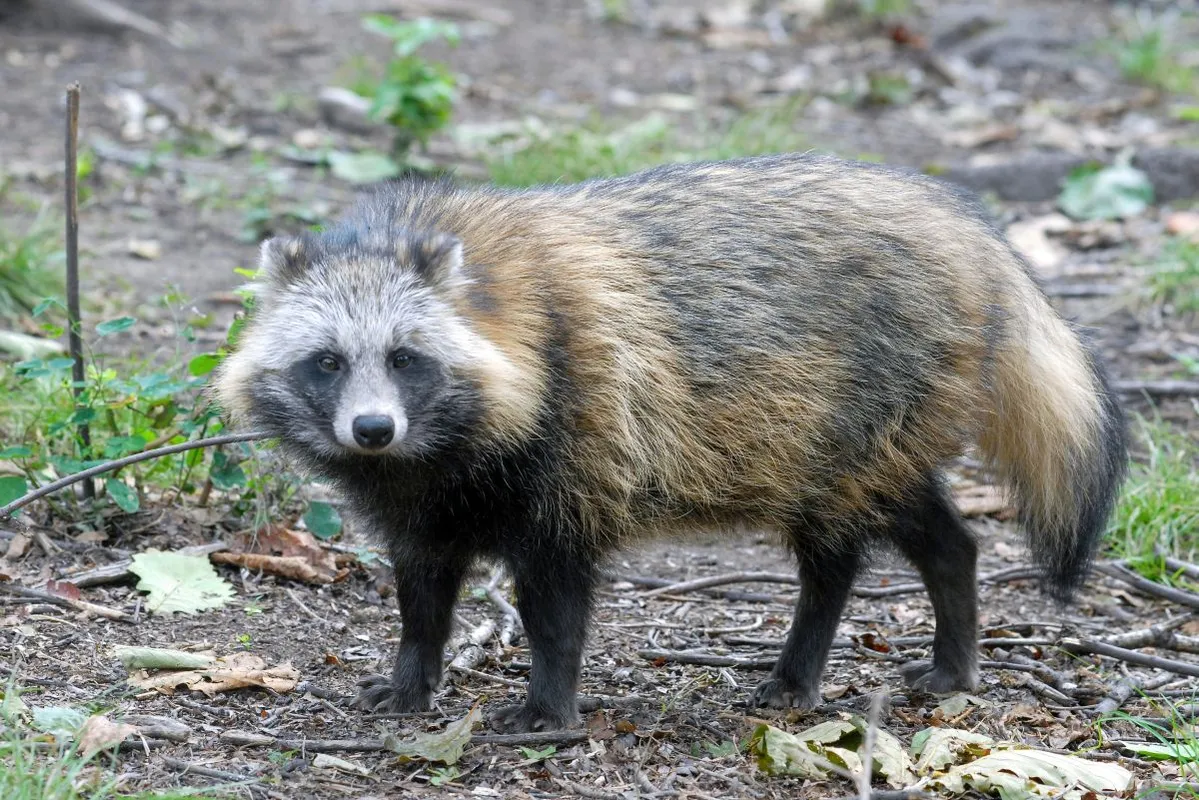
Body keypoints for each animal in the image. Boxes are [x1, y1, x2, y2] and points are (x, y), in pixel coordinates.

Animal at [213, 153, 1127, 732]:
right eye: (327, 362)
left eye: (405, 359)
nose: (372, 430)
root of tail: (969, 227)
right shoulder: (422, 501)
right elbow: (422, 590)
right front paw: (413, 675)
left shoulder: (577, 444)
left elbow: (555, 602)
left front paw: (549, 703)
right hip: (857, 440)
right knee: (937, 539)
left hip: (861, 416)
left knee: (840, 554)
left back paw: (806, 661)